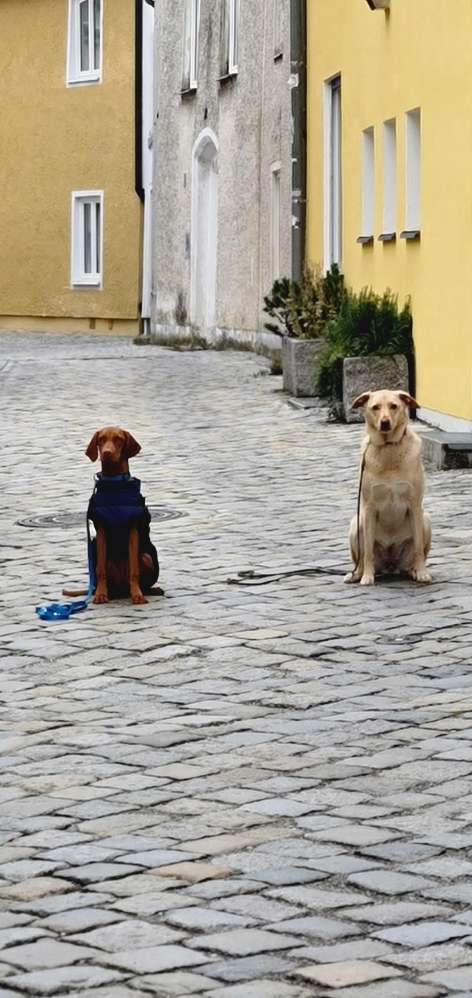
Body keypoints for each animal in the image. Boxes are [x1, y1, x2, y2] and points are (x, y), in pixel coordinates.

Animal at [84, 426, 159, 604]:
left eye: (119, 439)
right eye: (101, 439)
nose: (107, 452)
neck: (114, 484)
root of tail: (122, 590)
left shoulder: (133, 530)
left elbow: (134, 570)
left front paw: (137, 594)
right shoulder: (101, 532)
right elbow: (100, 570)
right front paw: (100, 594)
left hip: (146, 556)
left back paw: (149, 591)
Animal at [346, 392, 432, 584]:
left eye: (394, 406)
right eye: (375, 407)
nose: (385, 422)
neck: (388, 448)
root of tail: (390, 565)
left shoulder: (415, 506)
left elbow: (418, 548)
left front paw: (422, 572)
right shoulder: (369, 508)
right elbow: (367, 552)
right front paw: (367, 577)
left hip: (426, 519)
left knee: (414, 558)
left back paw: (414, 571)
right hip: (356, 522)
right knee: (361, 559)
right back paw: (357, 574)